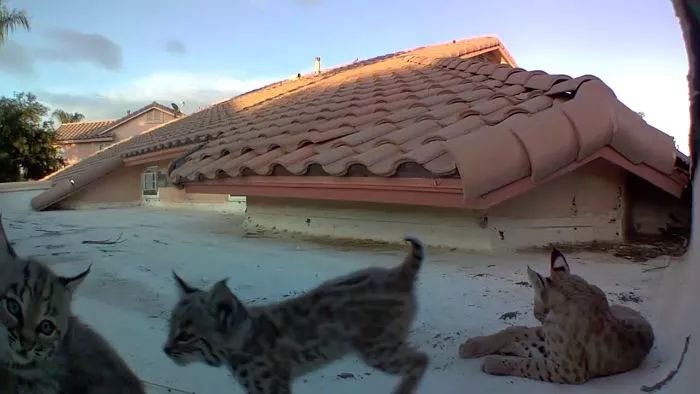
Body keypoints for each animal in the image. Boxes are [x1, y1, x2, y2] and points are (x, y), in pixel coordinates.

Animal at [164, 235, 426, 392]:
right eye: (170, 328)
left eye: (185, 335)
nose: (165, 350)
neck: (241, 339)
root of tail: (397, 274)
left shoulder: (272, 387)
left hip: (377, 349)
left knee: (421, 359)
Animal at [460, 248, 656, 384]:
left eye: (536, 307)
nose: (537, 314)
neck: (576, 290)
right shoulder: (550, 333)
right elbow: (514, 332)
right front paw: (476, 346)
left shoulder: (571, 370)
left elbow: (530, 365)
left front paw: (493, 362)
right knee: (518, 333)